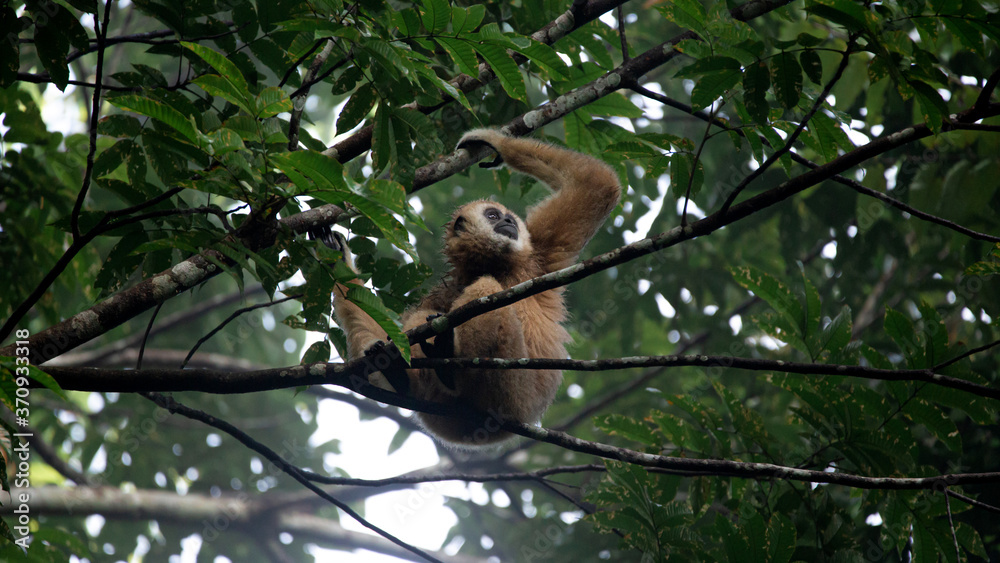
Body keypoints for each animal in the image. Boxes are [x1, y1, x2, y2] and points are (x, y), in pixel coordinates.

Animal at [327, 128, 622, 446]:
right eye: (492, 215)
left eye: (506, 217)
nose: (508, 221)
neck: (494, 264)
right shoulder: (448, 286)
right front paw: (336, 259)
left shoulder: (539, 255)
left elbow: (597, 184)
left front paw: (494, 142)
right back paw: (406, 377)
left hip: (512, 394)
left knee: (485, 291)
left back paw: (447, 363)